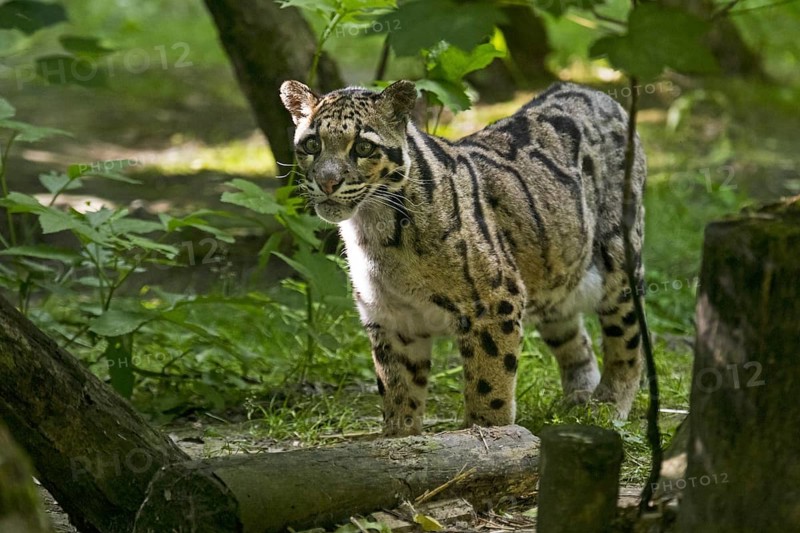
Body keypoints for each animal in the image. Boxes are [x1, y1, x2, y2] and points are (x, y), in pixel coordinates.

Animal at [280, 79, 646, 437]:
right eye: (312, 144)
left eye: (363, 147)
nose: (327, 182)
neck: (373, 230)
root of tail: (593, 91)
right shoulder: (390, 317)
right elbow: (398, 388)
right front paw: (399, 437)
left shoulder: (494, 303)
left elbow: (490, 383)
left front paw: (489, 435)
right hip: (555, 272)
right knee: (574, 336)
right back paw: (579, 400)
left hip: (620, 261)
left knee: (628, 338)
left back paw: (608, 405)